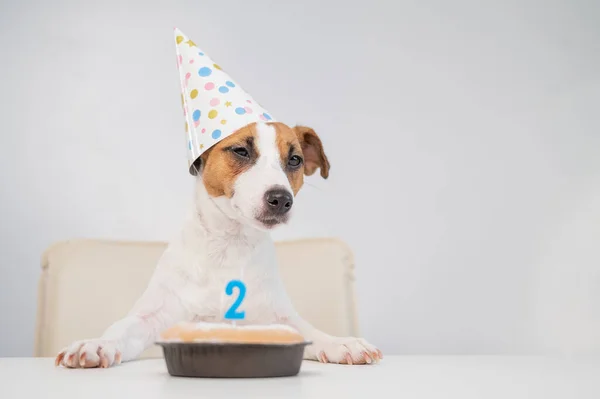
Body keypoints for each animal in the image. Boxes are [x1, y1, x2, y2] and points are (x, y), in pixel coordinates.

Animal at [57, 121, 384, 368]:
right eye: (241, 151)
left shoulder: (278, 318)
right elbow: (122, 328)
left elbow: (310, 331)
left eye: (295, 160)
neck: (229, 245)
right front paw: (97, 344)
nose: (281, 199)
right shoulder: (154, 316)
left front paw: (341, 343)